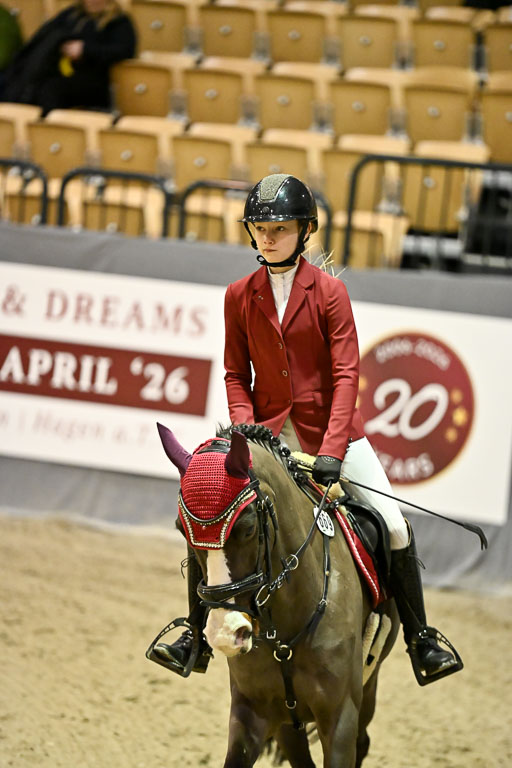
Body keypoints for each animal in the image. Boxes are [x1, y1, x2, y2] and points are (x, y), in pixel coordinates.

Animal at [155, 422, 400, 768]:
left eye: (247, 528)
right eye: (182, 530)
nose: (225, 634)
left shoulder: (340, 717)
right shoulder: (252, 713)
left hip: (369, 683)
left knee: (363, 741)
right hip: (288, 720)